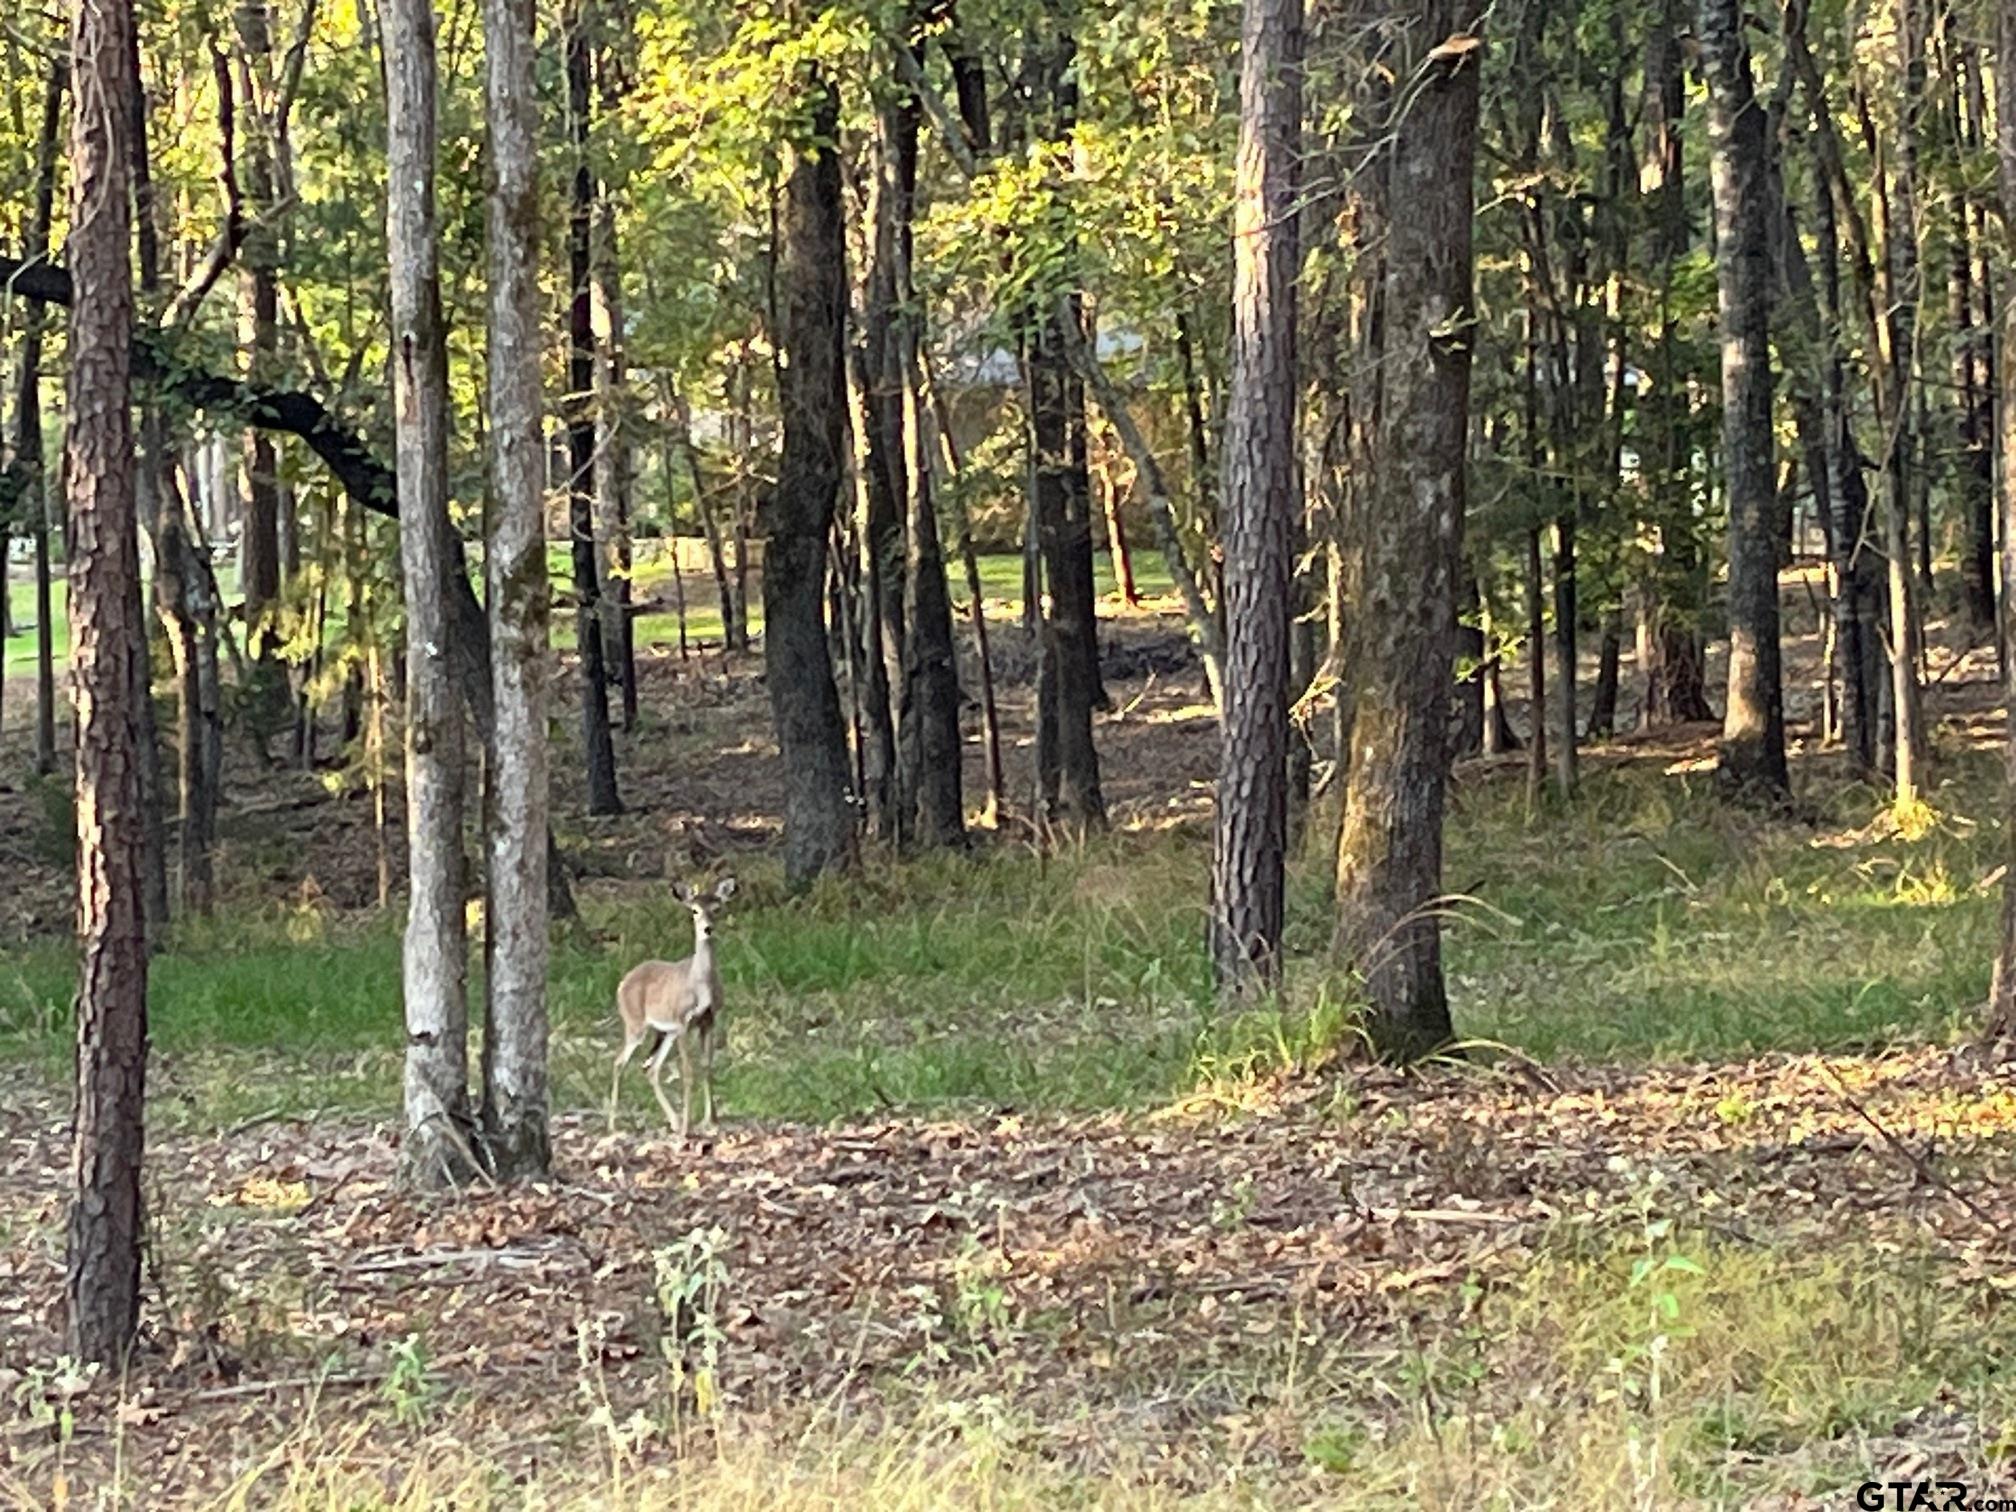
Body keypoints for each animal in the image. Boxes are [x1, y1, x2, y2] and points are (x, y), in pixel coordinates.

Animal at [612, 874, 749, 1137]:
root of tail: (622, 983)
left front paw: (711, 1121)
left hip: (664, 1032)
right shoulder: (683, 1020)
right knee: (619, 1062)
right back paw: (613, 1125)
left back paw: (673, 1121)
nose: (708, 928)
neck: (700, 985)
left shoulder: (708, 1019)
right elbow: (688, 1071)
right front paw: (689, 1126)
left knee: (651, 1068)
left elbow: (707, 1066)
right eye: (694, 910)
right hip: (636, 1024)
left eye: (717, 908)